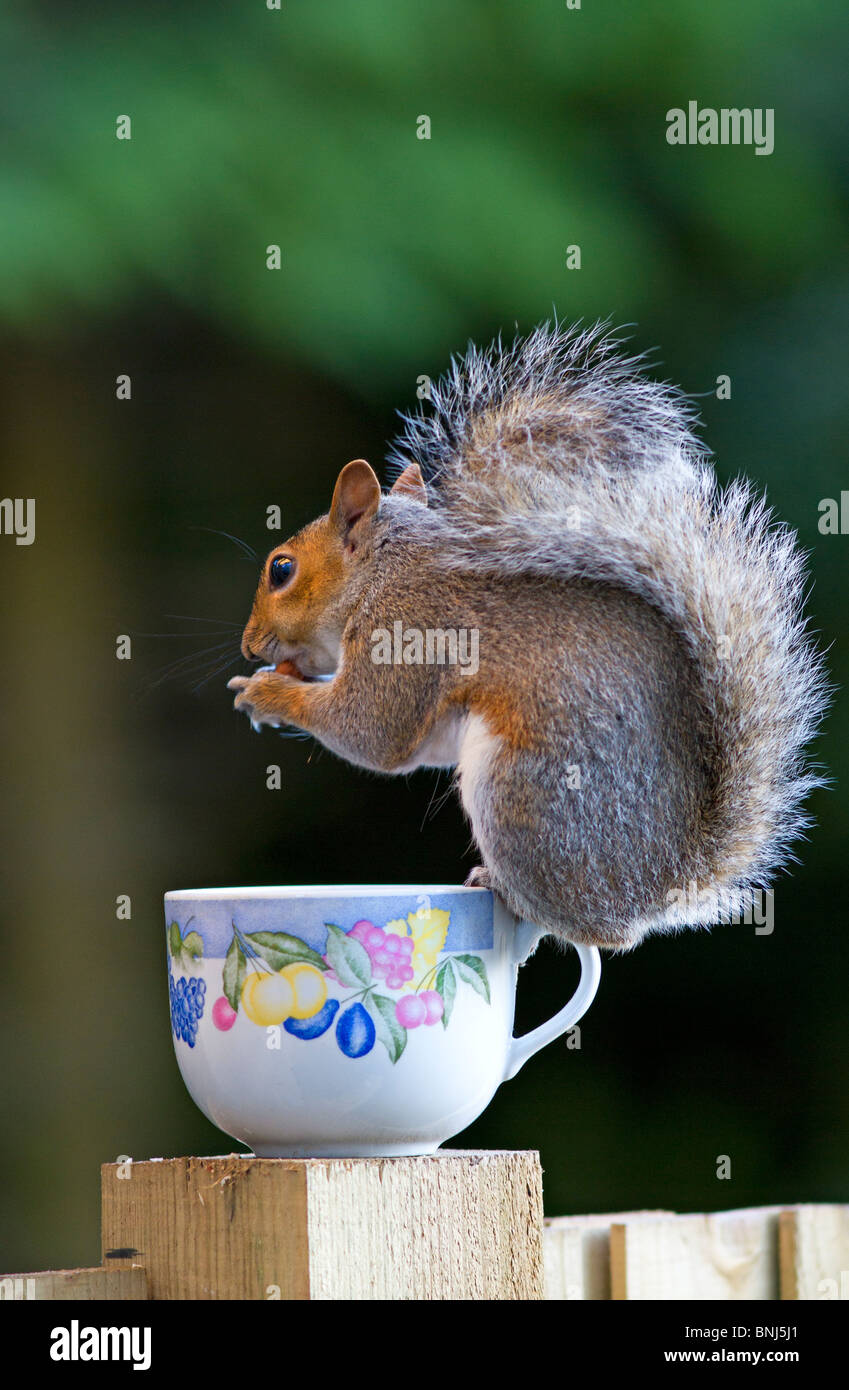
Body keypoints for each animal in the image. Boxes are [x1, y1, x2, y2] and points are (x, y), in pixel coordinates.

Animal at [229, 323, 828, 950]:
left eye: (281, 569)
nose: (249, 645)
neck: (380, 574)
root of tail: (659, 887)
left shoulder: (404, 630)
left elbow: (371, 729)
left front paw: (265, 693)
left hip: (522, 790)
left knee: (589, 927)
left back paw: (503, 890)